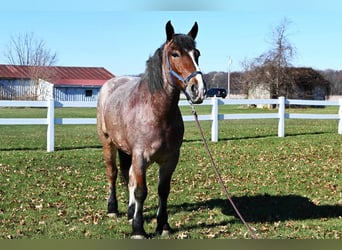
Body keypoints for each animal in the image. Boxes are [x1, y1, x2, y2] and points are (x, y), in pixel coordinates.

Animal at [96, 21, 206, 238]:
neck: (157, 112)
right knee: (113, 173)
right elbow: (141, 191)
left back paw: (130, 212)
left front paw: (163, 225)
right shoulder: (141, 157)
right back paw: (113, 209)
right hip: (108, 143)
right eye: (175, 54)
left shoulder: (170, 159)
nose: (197, 90)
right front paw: (138, 229)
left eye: (197, 53)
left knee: (128, 176)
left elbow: (163, 190)